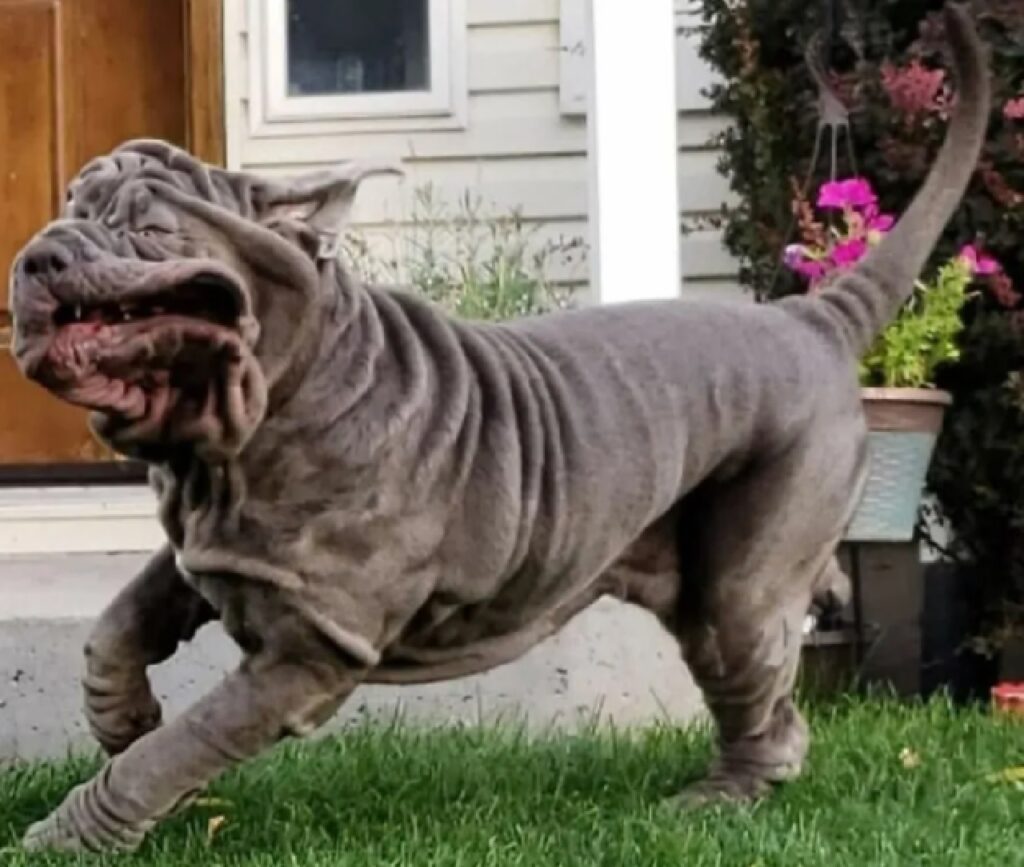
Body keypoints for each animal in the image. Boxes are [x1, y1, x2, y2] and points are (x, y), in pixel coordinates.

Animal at [4, 1, 987, 855]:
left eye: (150, 230)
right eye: (73, 206)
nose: (39, 253)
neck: (248, 420)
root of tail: (808, 320)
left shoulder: (309, 649)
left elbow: (173, 754)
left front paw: (62, 836)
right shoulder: (210, 554)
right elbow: (115, 626)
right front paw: (120, 716)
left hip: (746, 578)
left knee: (768, 708)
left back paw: (710, 804)